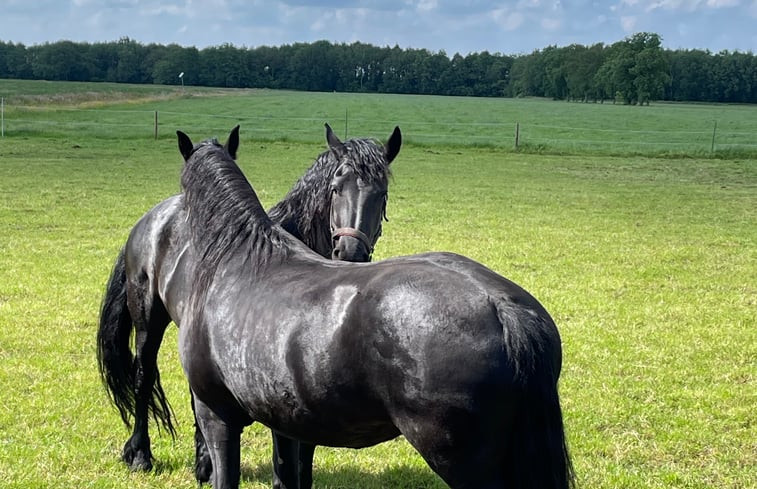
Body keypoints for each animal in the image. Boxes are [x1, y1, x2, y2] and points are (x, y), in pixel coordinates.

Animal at [97, 123, 402, 484]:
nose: (351, 252)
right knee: (143, 377)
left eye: (381, 193)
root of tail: (153, 217)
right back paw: (141, 454)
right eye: (336, 188)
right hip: (148, 319)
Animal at [176, 129, 572, 488]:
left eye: (381, 195)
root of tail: (501, 306)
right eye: (335, 188)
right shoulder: (286, 423)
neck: (236, 255)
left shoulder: (217, 417)